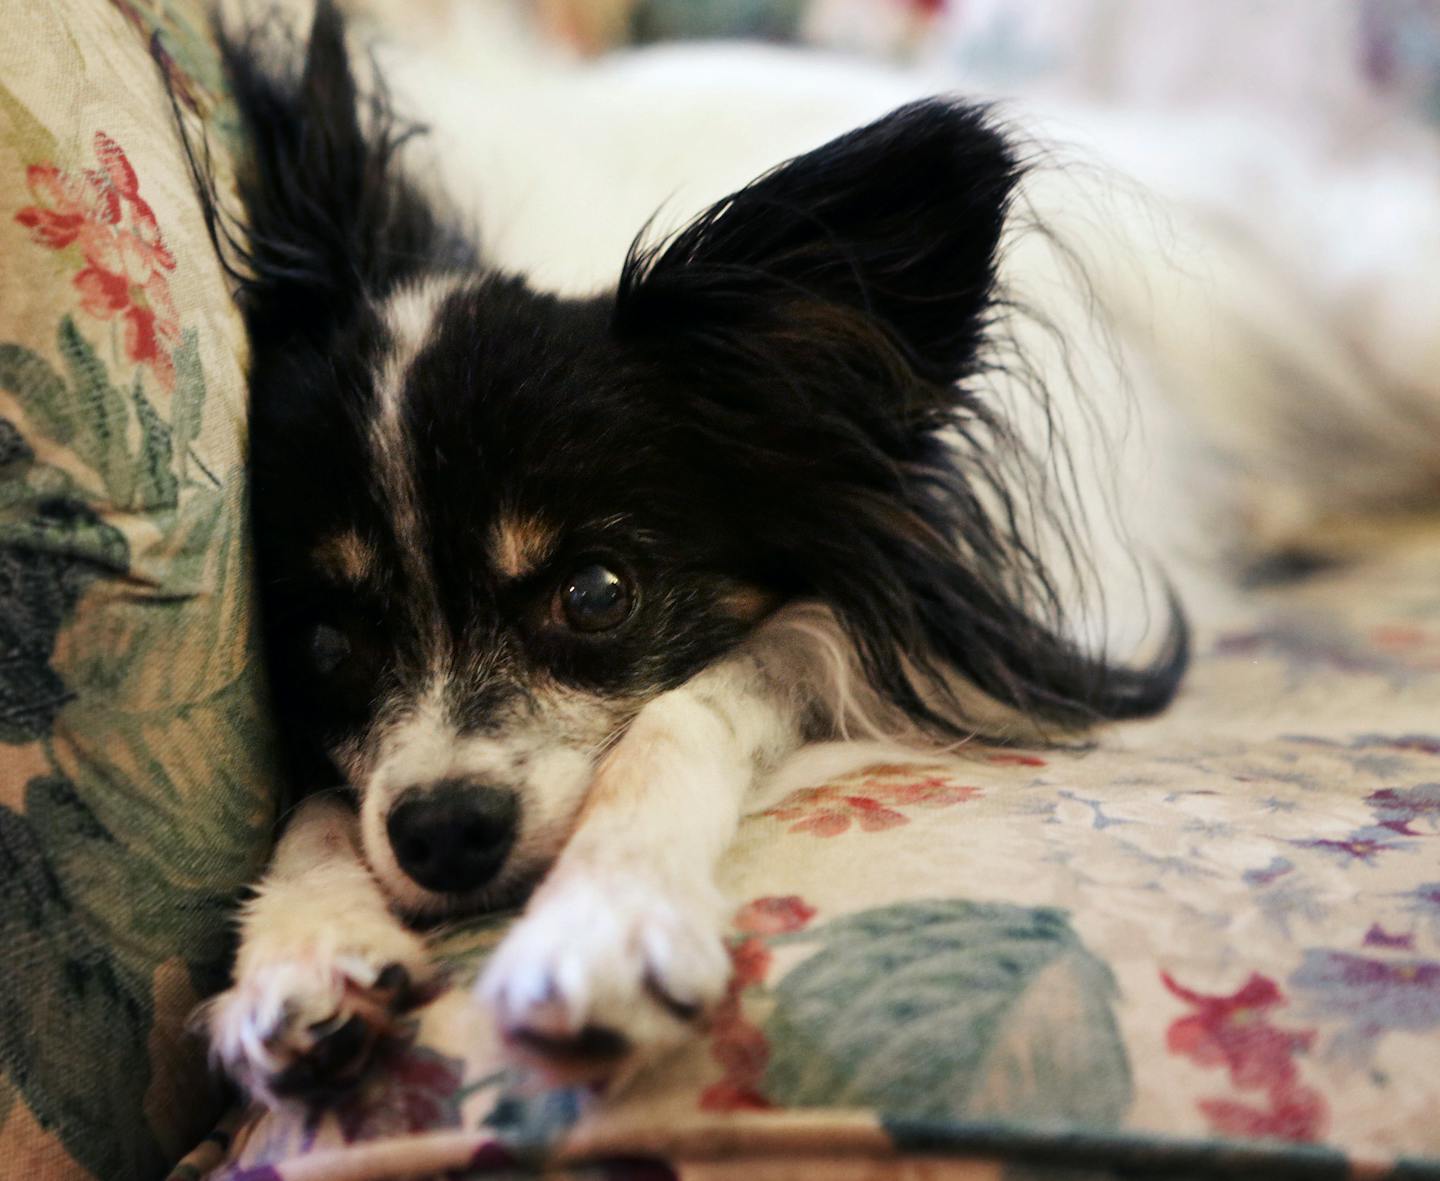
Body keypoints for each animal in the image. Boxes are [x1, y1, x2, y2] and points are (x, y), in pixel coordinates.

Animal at [194, 2, 1440, 1106]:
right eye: (320, 645)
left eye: (595, 595)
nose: (443, 831)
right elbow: (322, 802)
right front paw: (303, 942)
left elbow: (675, 715)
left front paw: (605, 917)